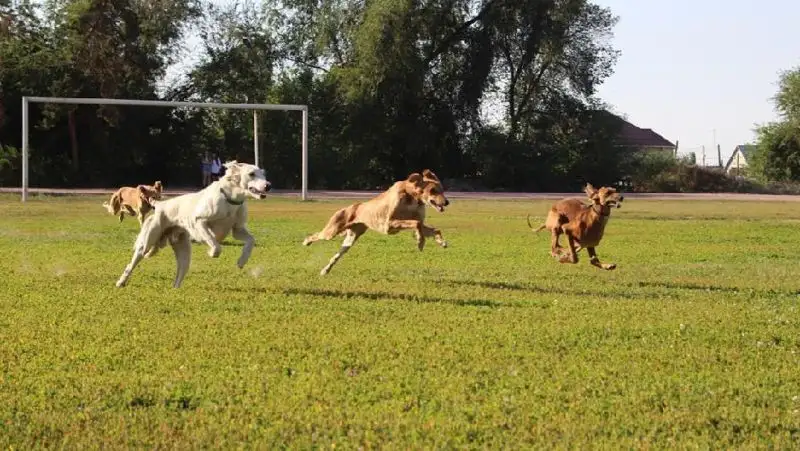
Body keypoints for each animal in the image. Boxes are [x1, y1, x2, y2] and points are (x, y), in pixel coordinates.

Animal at [115, 162, 272, 290]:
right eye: (251, 174)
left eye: (263, 173)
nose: (268, 185)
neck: (229, 200)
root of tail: (160, 204)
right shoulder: (200, 222)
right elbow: (216, 246)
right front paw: (211, 252)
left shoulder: (237, 229)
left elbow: (251, 241)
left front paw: (242, 261)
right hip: (146, 243)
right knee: (131, 264)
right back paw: (121, 282)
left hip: (184, 252)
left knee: (179, 273)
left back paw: (175, 289)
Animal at [302, 170, 450, 276]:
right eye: (432, 190)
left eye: (442, 189)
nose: (447, 202)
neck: (411, 197)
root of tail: (350, 207)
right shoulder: (389, 225)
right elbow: (416, 224)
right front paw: (420, 242)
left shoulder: (412, 221)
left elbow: (432, 228)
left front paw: (440, 241)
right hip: (331, 231)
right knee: (316, 235)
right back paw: (306, 241)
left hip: (350, 240)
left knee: (336, 256)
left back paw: (325, 270)